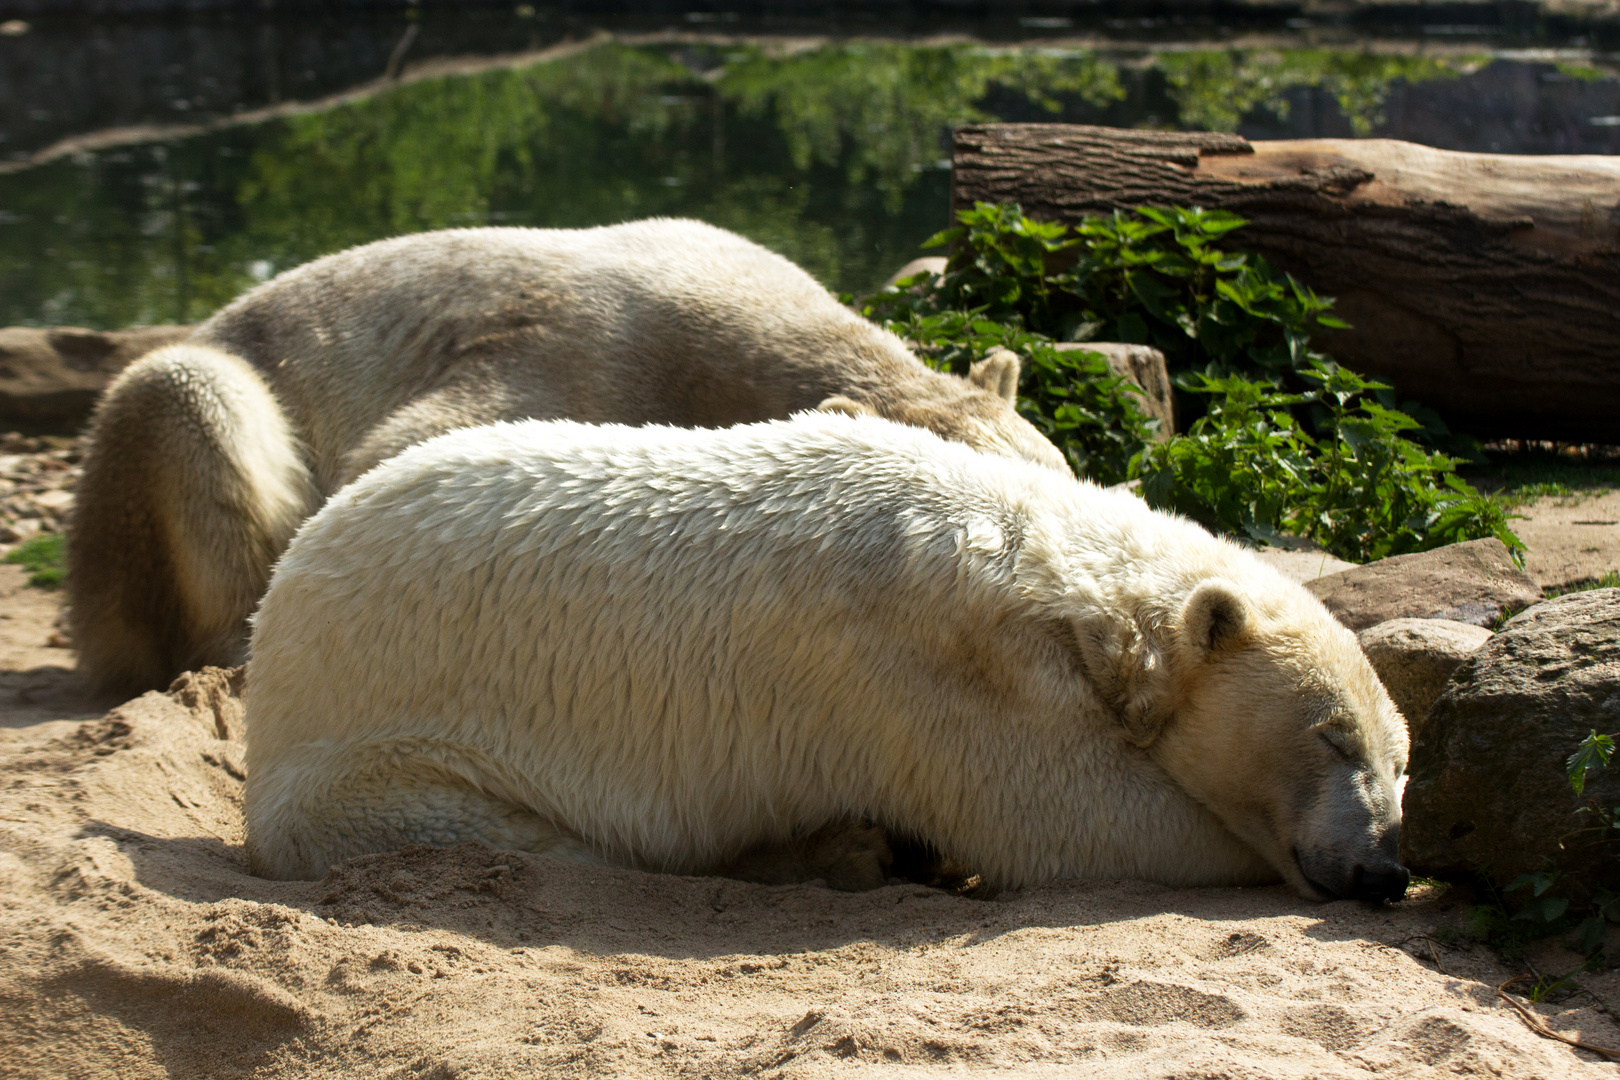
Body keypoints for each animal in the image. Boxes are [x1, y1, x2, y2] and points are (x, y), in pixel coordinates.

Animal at [236, 409, 1406, 900]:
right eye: (1331, 737)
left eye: (1400, 761)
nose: (1381, 869)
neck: (1046, 570)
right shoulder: (926, 672)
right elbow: (1069, 819)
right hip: (389, 757)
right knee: (543, 842)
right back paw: (832, 852)